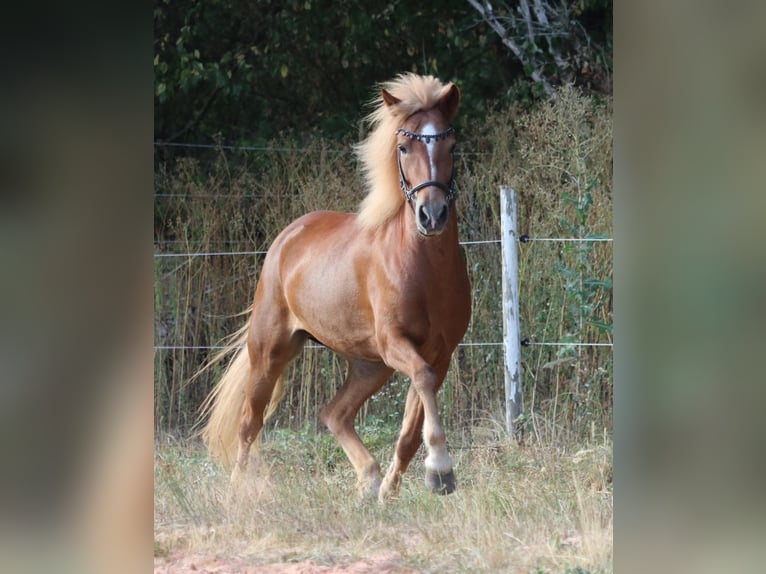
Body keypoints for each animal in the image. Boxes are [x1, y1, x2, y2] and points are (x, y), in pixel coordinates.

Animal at [201, 73, 472, 504]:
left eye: (451, 145)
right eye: (403, 146)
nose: (432, 215)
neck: (424, 268)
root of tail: (287, 236)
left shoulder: (439, 354)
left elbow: (412, 426)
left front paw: (400, 487)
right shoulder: (397, 343)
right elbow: (423, 383)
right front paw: (441, 470)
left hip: (369, 365)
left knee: (334, 413)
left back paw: (371, 478)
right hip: (270, 350)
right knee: (249, 422)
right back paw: (237, 492)